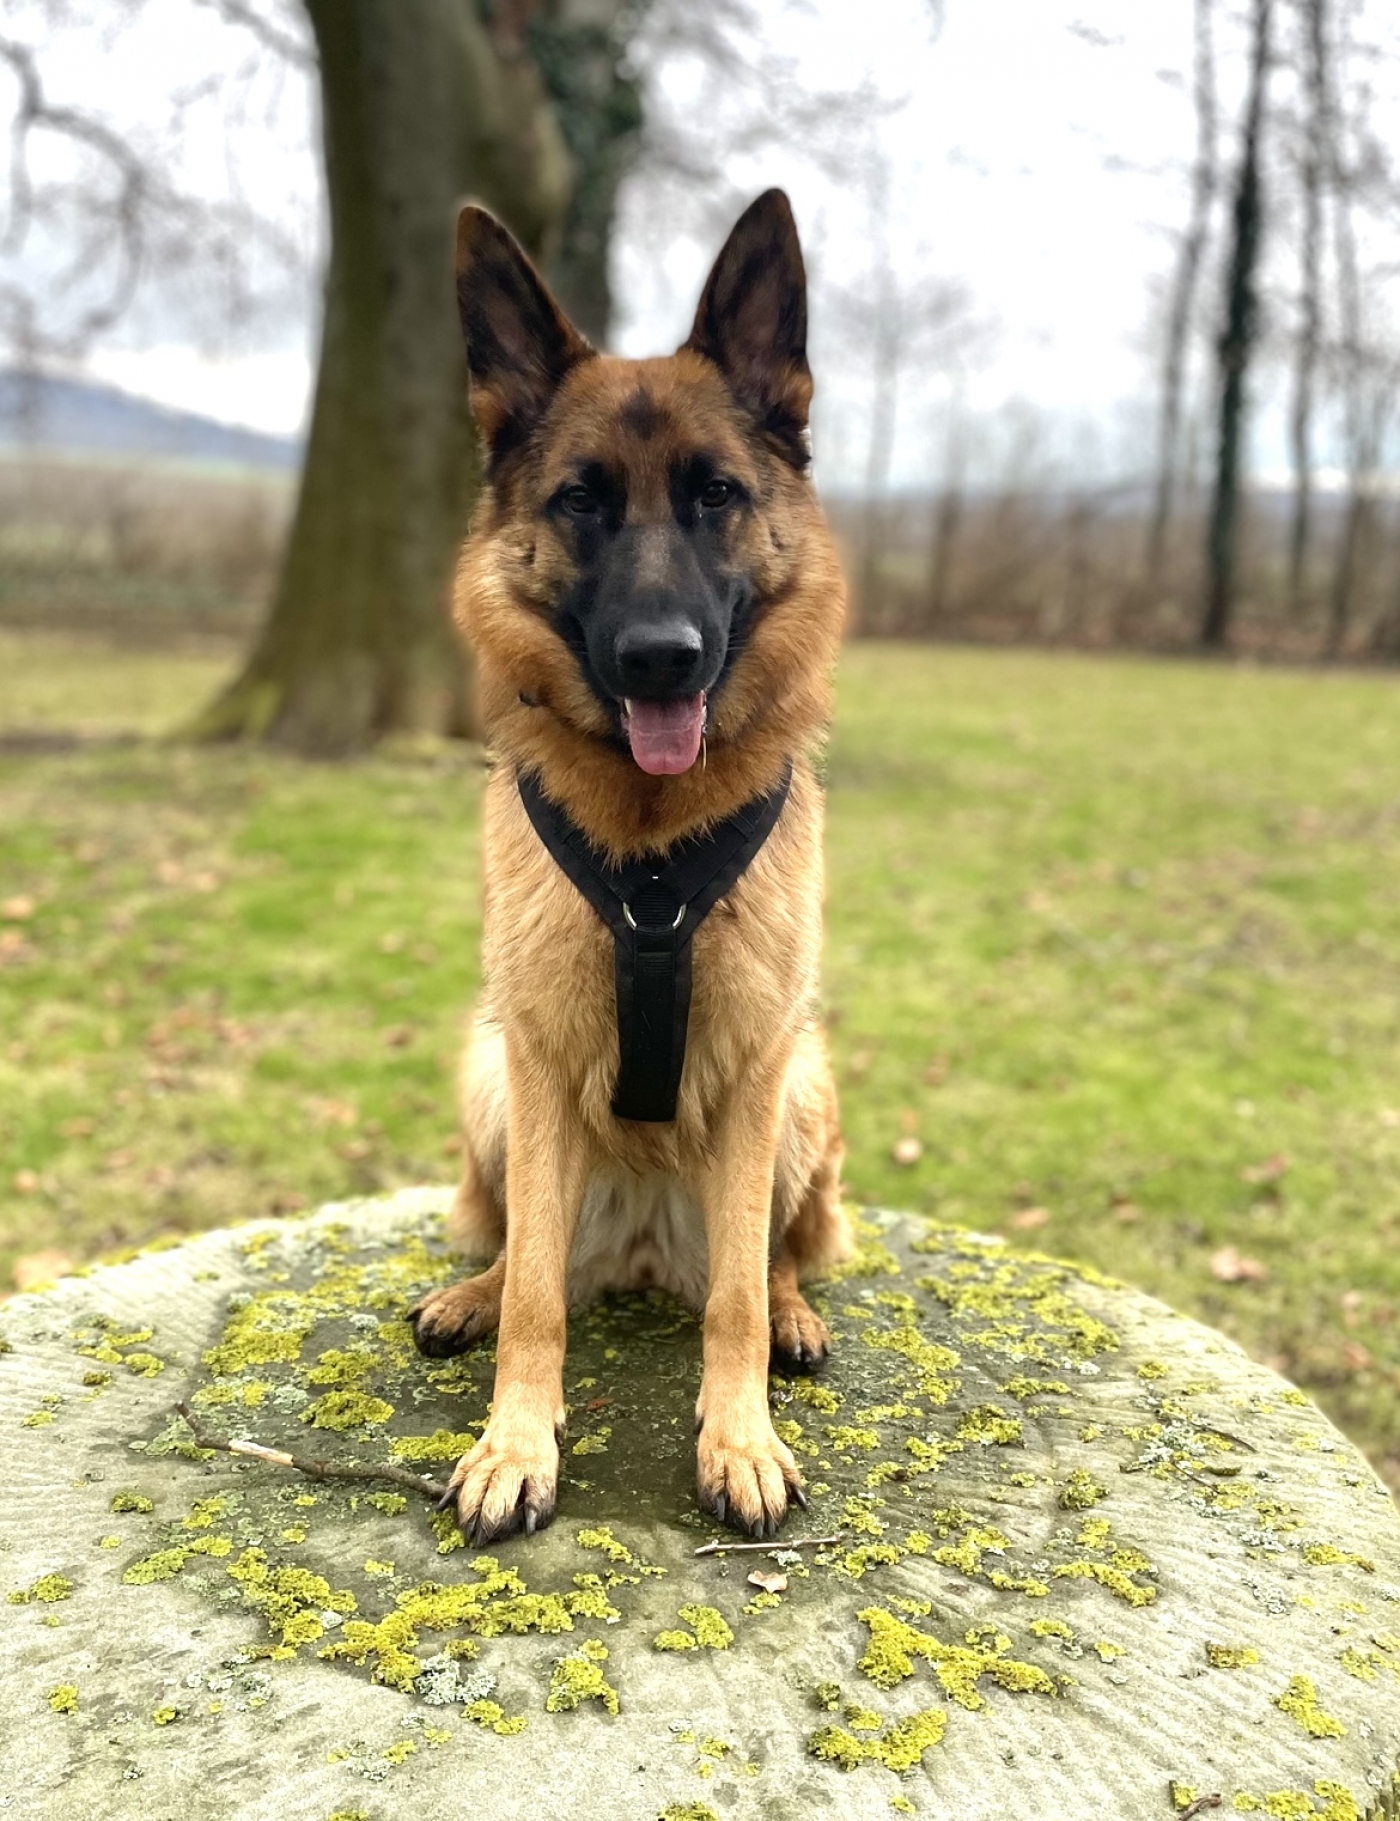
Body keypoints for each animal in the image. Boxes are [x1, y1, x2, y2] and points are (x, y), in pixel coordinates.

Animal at [408, 189, 850, 1543]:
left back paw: (795, 1317)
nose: (661, 657)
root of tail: (647, 1251)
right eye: (581, 501)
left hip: (804, 1080)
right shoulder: (542, 1058)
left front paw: (739, 1438)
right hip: (490, 1073)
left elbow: (740, 1300)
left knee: (772, 1258)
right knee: (529, 1254)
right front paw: (514, 1445)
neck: (653, 847)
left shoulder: (755, 1061)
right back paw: (472, 1293)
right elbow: (537, 1301)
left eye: (714, 495)